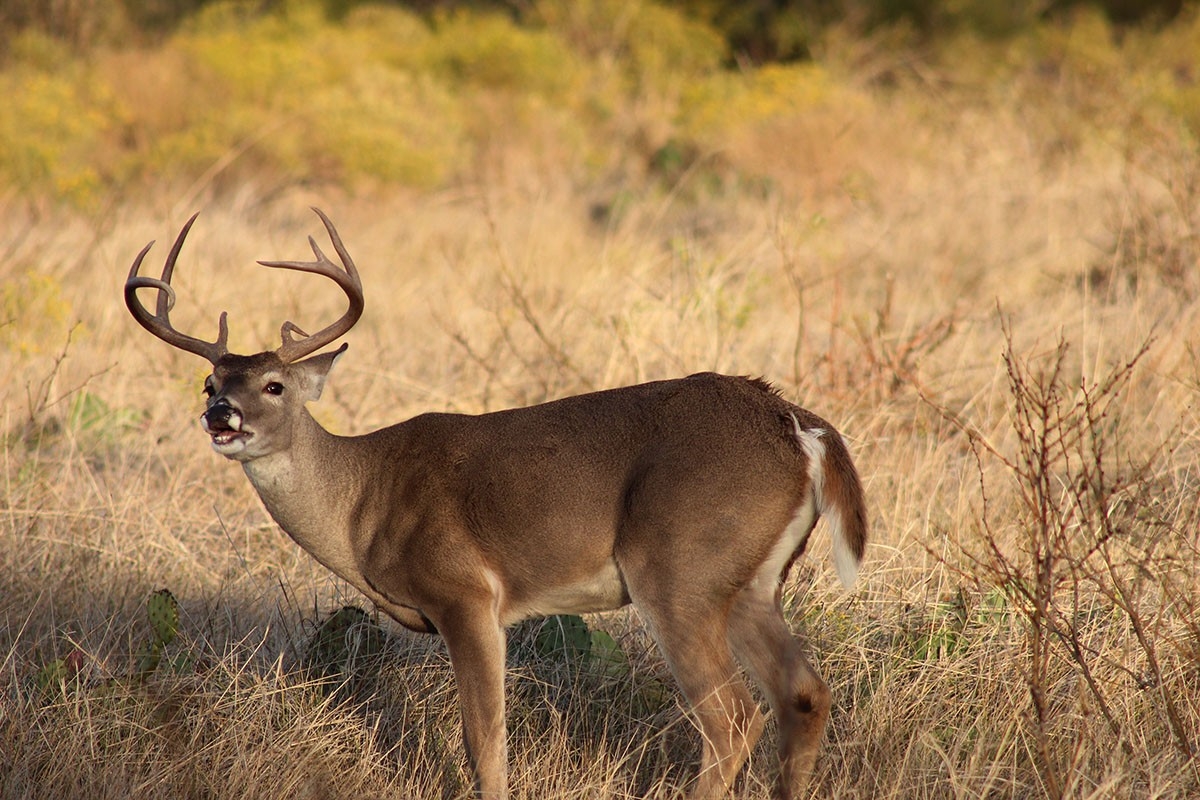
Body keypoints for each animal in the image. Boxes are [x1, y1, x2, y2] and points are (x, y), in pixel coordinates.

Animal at [121, 208, 868, 800]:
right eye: (209, 381)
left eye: (274, 385)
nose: (221, 415)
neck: (363, 502)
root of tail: (799, 426)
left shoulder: (465, 592)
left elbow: (484, 741)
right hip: (749, 581)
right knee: (803, 695)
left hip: (679, 565)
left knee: (734, 717)